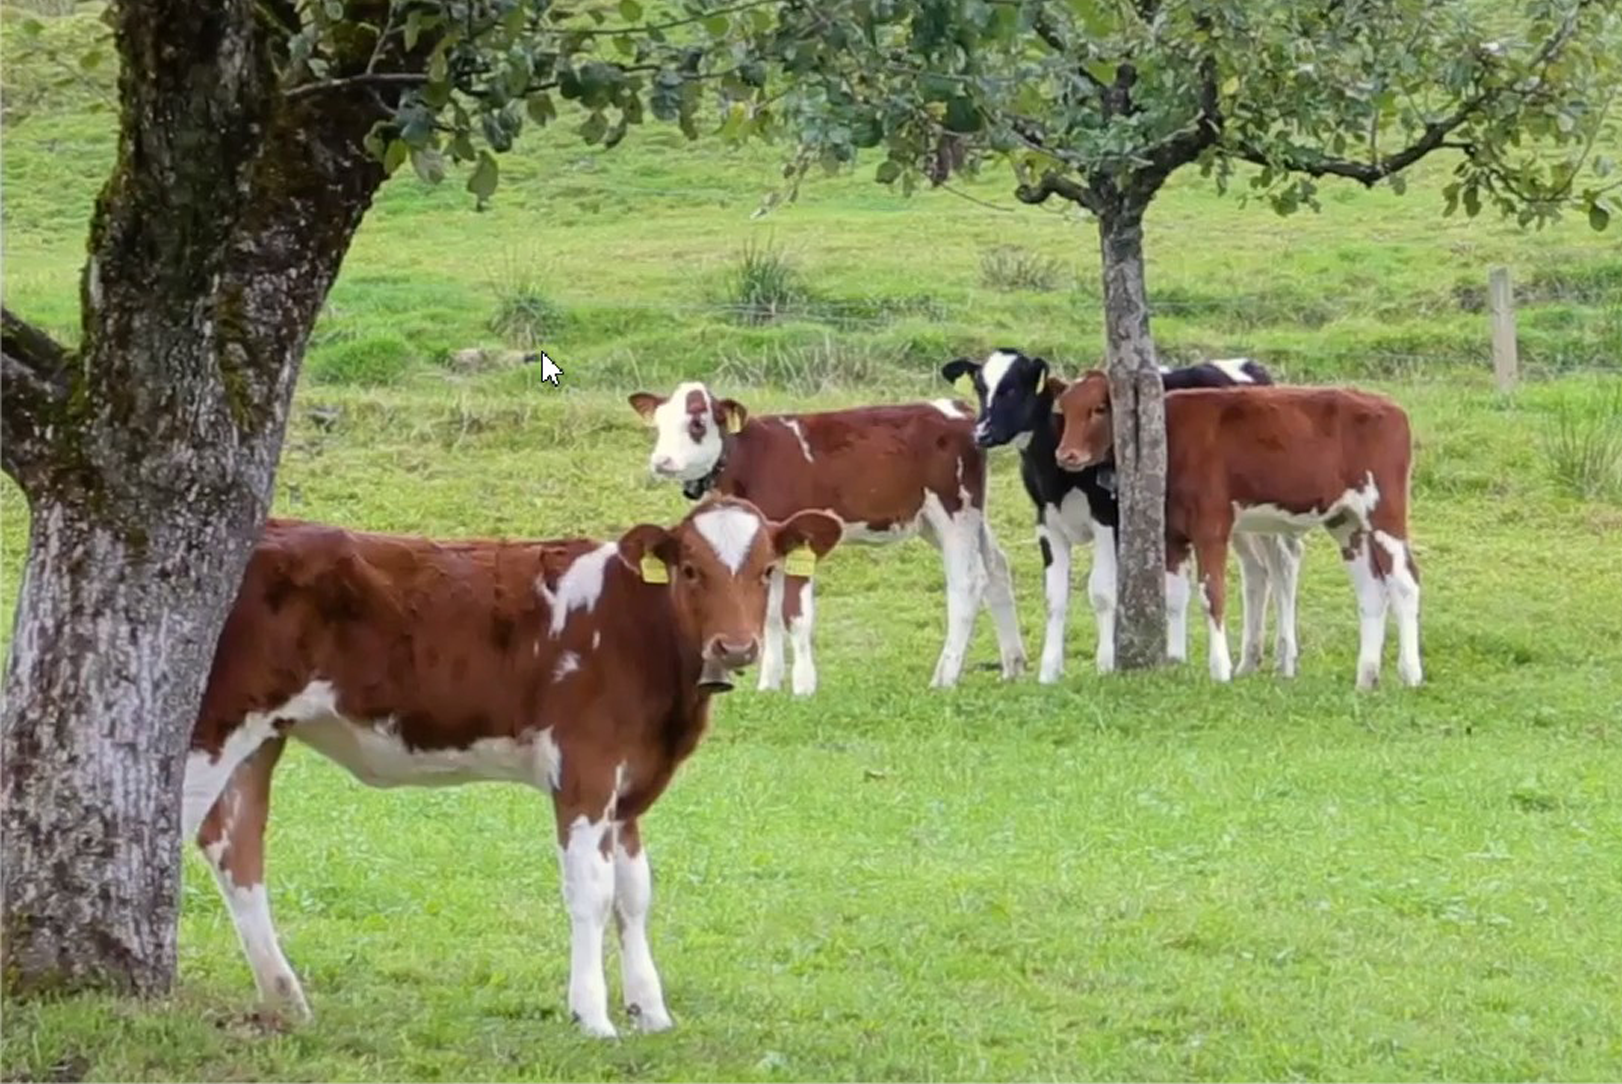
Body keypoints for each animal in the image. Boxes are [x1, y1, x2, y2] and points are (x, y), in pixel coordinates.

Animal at [180, 497, 844, 1037]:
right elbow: (592, 891)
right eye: (690, 570)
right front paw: (593, 1015)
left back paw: (286, 997)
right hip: (213, 724)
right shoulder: (585, 767)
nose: (737, 647)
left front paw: (651, 1011)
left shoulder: (630, 787)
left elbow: (634, 893)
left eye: (766, 570)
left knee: (235, 847)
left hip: (263, 734)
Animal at [627, 382, 1026, 692]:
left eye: (697, 422)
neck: (748, 458)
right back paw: (1013, 666)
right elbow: (769, 615)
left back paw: (945, 676)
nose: (661, 461)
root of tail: (956, 409)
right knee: (997, 567)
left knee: (967, 582)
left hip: (955, 511)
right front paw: (768, 685)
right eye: (658, 424)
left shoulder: (800, 540)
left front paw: (804, 686)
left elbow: (795, 614)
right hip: (946, 518)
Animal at [940, 349, 1303, 683]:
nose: (981, 434)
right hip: (1243, 519)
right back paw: (1248, 661)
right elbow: (1054, 598)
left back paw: (1285, 660)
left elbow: (1102, 591)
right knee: (1256, 571)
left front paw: (1105, 663)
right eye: (980, 387)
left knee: (1283, 563)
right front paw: (1049, 672)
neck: (1057, 474)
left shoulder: (1107, 521)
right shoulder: (1048, 524)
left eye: (1013, 388)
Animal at [1052, 372, 1422, 689]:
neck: (1170, 433)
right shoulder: (1172, 533)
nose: (1065, 454)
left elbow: (1212, 594)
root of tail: (1389, 406)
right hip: (1346, 522)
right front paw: (1174, 661)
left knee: (1404, 582)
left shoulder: (1211, 526)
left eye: (1098, 408)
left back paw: (1411, 673)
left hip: (1384, 511)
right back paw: (1366, 676)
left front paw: (1220, 668)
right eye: (1064, 409)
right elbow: (1175, 597)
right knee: (1371, 590)